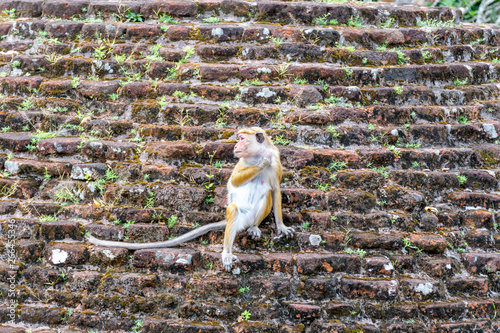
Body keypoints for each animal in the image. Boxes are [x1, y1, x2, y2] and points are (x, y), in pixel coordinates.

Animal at [86, 126, 294, 270]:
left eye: (242, 138)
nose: (236, 145)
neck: (257, 154)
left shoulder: (276, 158)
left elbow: (276, 190)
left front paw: (281, 226)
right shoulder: (243, 161)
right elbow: (234, 181)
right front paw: (260, 165)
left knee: (266, 195)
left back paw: (254, 227)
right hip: (238, 218)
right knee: (234, 210)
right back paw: (227, 253)